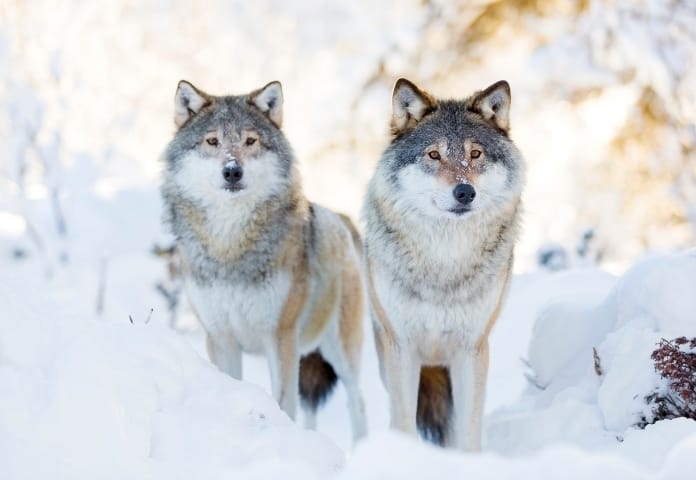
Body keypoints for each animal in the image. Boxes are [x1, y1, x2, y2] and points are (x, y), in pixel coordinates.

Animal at [160, 80, 367, 441]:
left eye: (250, 141)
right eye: (212, 141)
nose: (232, 170)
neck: (230, 246)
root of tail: (341, 219)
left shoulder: (279, 336)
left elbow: (283, 403)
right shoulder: (221, 337)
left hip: (340, 352)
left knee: (359, 403)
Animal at [363, 78, 524, 450]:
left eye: (475, 154)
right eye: (433, 155)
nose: (465, 192)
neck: (444, 262)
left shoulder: (471, 350)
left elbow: (468, 431)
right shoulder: (402, 347)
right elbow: (404, 423)